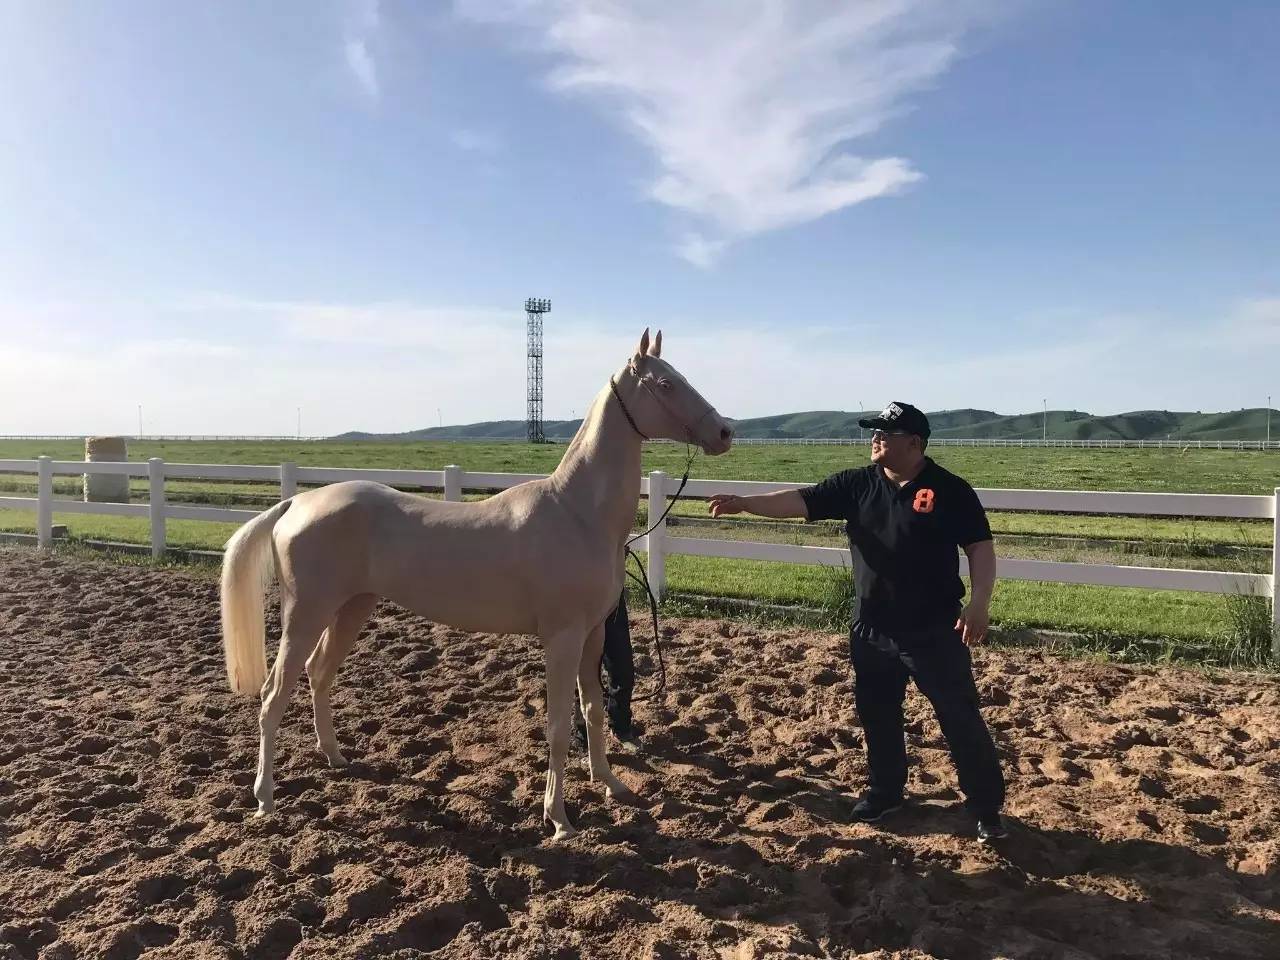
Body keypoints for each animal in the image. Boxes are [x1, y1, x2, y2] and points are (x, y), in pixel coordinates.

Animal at [222, 327, 732, 839]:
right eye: (665, 383)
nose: (725, 431)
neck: (577, 513)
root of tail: (296, 503)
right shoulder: (562, 638)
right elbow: (558, 725)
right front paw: (559, 819)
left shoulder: (592, 636)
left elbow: (592, 711)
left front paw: (612, 785)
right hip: (307, 615)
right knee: (273, 696)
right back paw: (265, 799)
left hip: (352, 608)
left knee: (319, 675)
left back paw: (336, 758)